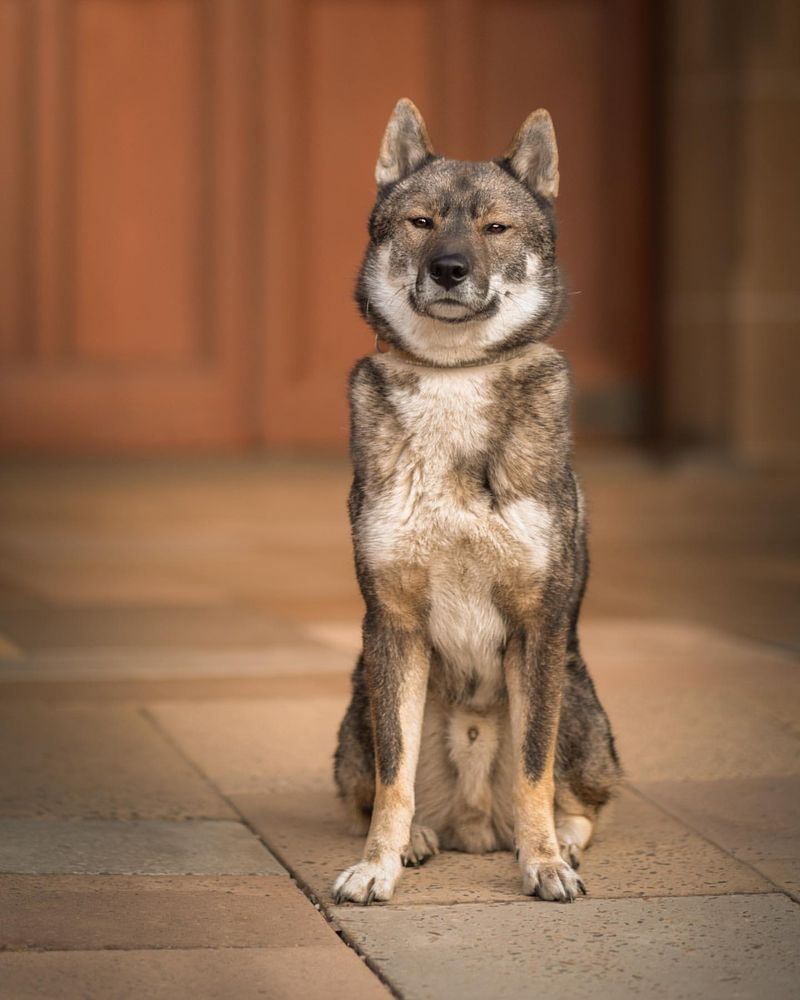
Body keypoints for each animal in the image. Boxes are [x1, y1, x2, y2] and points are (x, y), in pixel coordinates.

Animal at [332, 99, 620, 908]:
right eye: (422, 222)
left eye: (496, 228)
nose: (450, 269)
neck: (455, 381)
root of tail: (473, 825)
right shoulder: (392, 626)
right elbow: (395, 781)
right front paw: (377, 866)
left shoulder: (537, 627)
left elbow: (532, 770)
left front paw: (545, 863)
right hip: (358, 709)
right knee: (376, 788)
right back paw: (420, 841)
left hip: (577, 699)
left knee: (582, 800)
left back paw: (559, 844)